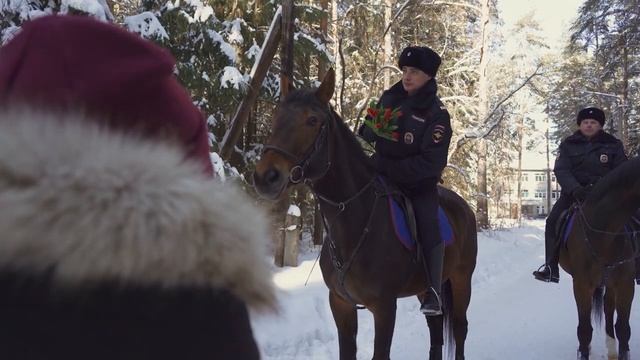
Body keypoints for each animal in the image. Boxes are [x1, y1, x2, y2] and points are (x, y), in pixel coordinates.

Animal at [254, 70, 476, 360]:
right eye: (276, 117)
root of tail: (464, 207)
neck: (354, 225)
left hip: (462, 279)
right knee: (436, 327)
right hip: (425, 288)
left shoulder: (385, 308)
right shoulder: (340, 304)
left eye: (312, 120)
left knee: (460, 327)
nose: (265, 177)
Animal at [564, 157, 636, 360]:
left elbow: (623, 329)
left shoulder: (626, 284)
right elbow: (584, 330)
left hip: (610, 282)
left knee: (608, 308)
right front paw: (584, 351)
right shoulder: (581, 285)